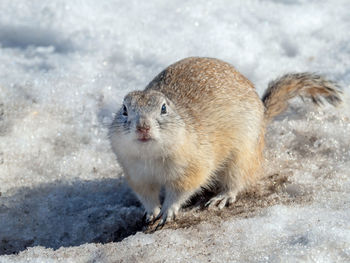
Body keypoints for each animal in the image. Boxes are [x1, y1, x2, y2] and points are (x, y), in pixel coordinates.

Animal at [109, 56, 342, 228]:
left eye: (164, 108)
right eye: (124, 109)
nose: (143, 127)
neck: (152, 156)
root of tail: (263, 112)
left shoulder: (193, 166)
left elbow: (181, 190)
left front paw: (168, 210)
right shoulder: (136, 174)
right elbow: (146, 195)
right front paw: (152, 212)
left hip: (242, 157)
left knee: (237, 182)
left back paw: (221, 198)